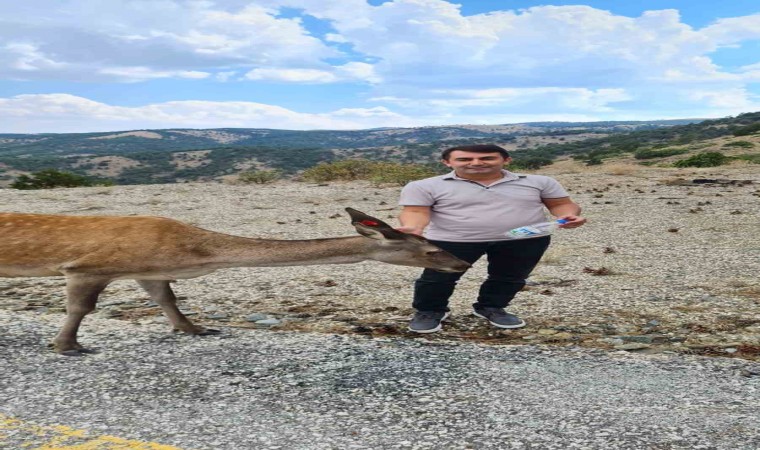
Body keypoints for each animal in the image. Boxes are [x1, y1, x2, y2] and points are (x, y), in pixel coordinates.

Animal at [0, 208, 470, 355]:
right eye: (430, 249)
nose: (461, 263)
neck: (197, 255)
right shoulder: (86, 267)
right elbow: (81, 308)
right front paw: (67, 347)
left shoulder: (149, 271)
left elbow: (168, 300)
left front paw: (195, 330)